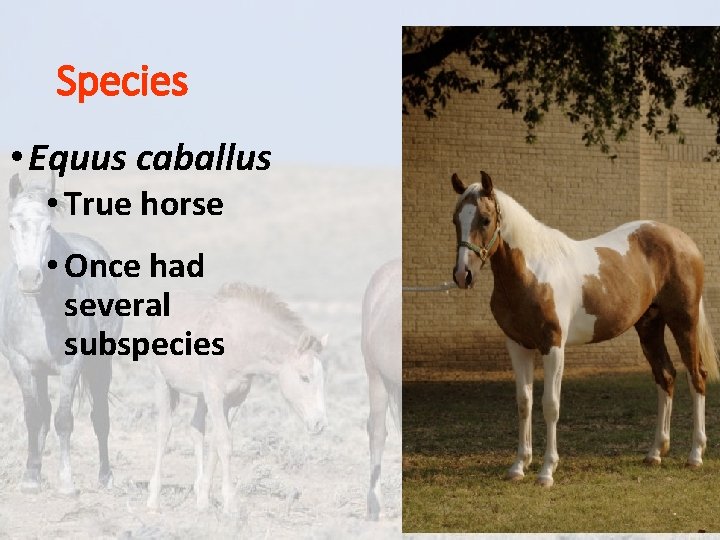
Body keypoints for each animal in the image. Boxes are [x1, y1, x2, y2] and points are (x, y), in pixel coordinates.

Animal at [0, 173, 122, 494]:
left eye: (48, 226)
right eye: (12, 225)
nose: (30, 279)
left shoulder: (72, 365)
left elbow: (64, 419)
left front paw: (66, 482)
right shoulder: (21, 364)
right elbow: (33, 417)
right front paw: (31, 477)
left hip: (100, 364)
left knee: (100, 417)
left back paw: (106, 477)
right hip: (41, 372)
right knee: (43, 413)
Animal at [146, 283, 329, 513]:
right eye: (304, 377)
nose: (319, 423)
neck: (238, 342)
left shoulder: (233, 401)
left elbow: (216, 442)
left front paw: (204, 499)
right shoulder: (215, 396)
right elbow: (224, 442)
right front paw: (230, 504)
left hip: (200, 396)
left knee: (196, 429)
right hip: (162, 382)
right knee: (164, 430)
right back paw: (153, 499)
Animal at [450, 171, 719, 487]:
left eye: (485, 219)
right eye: (455, 220)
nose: (462, 275)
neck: (533, 271)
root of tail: (684, 241)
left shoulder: (553, 346)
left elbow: (550, 405)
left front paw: (546, 470)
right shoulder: (518, 345)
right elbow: (524, 402)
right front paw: (518, 466)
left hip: (683, 321)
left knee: (696, 376)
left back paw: (695, 454)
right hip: (649, 326)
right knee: (665, 376)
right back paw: (655, 452)